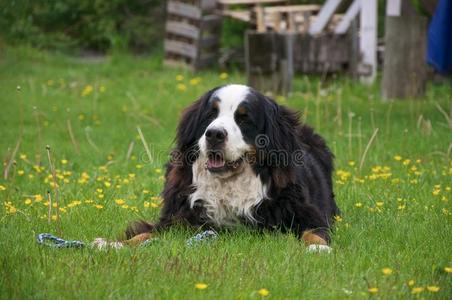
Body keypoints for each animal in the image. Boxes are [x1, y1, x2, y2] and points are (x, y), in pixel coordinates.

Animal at [126, 84, 340, 251]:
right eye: (211, 114)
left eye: (244, 119)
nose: (214, 134)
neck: (228, 185)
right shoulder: (180, 217)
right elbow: (146, 232)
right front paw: (120, 244)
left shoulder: (305, 213)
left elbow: (314, 232)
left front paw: (319, 247)